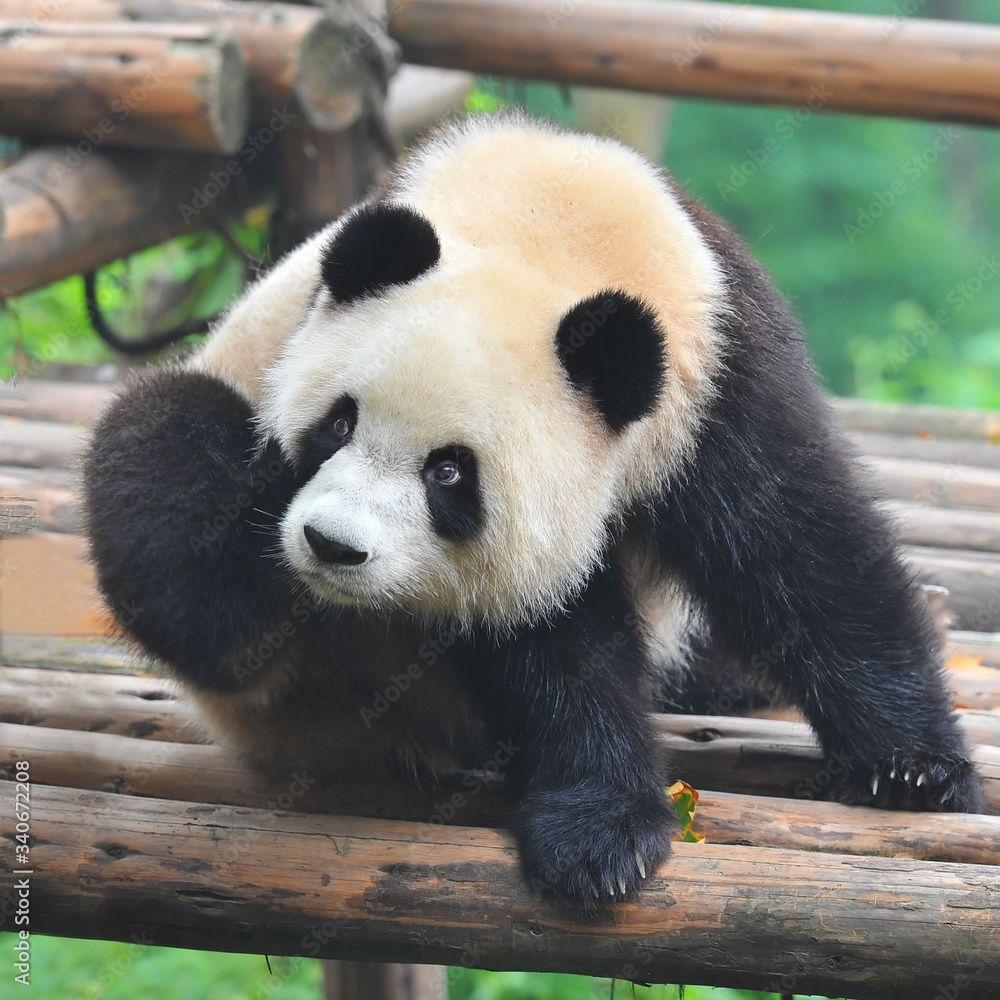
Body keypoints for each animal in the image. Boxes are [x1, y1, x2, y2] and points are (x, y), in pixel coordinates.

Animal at [83, 111, 984, 907]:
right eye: (337, 424)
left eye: (449, 474)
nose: (332, 546)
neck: (547, 231)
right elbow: (553, 638)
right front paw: (604, 834)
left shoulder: (719, 375)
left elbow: (797, 551)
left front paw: (913, 771)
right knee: (171, 459)